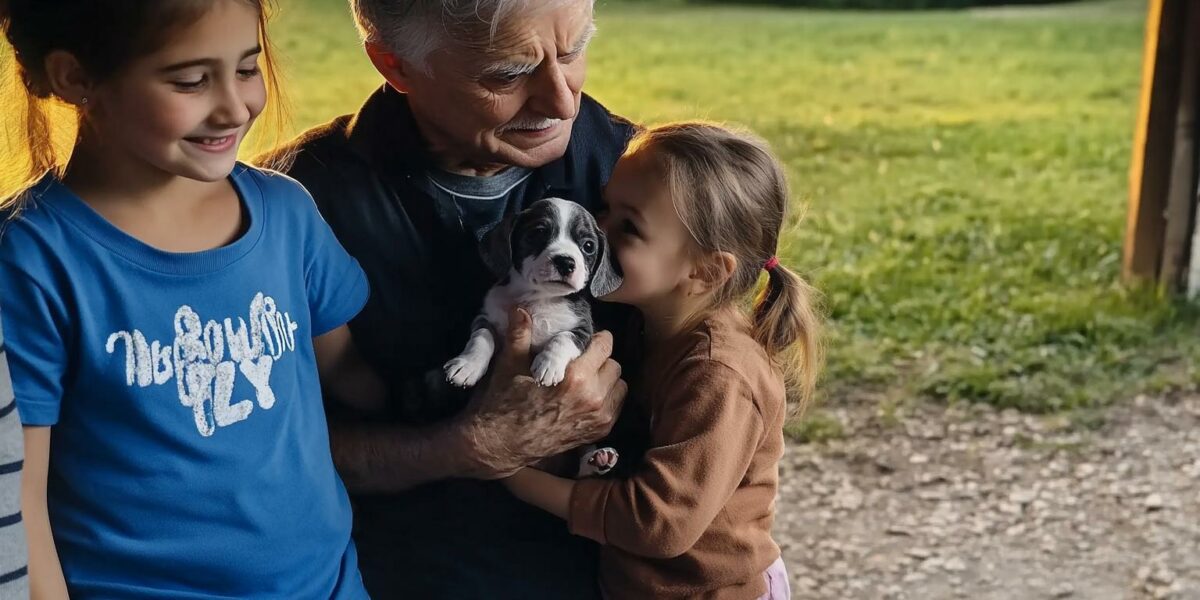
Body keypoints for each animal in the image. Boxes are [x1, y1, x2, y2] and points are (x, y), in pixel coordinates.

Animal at [446, 198, 624, 388]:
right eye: (538, 233)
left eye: (588, 246)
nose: (565, 262)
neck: (539, 297)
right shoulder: (486, 318)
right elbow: (482, 336)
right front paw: (468, 364)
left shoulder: (584, 329)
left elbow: (564, 337)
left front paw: (549, 363)